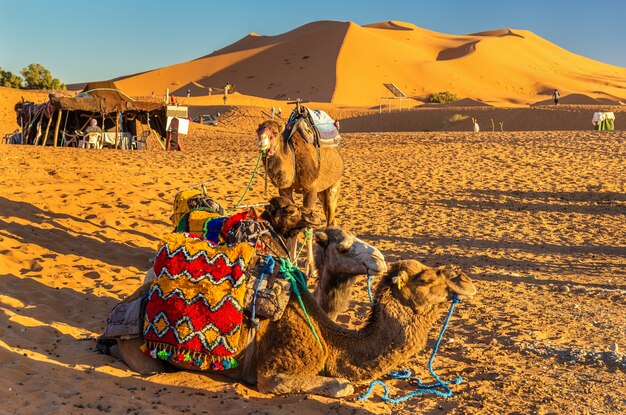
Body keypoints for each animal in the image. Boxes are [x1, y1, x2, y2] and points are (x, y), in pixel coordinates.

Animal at [113, 254, 472, 400]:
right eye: (426, 278)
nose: (466, 281)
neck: (331, 344)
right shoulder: (275, 370)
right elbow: (341, 386)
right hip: (141, 351)